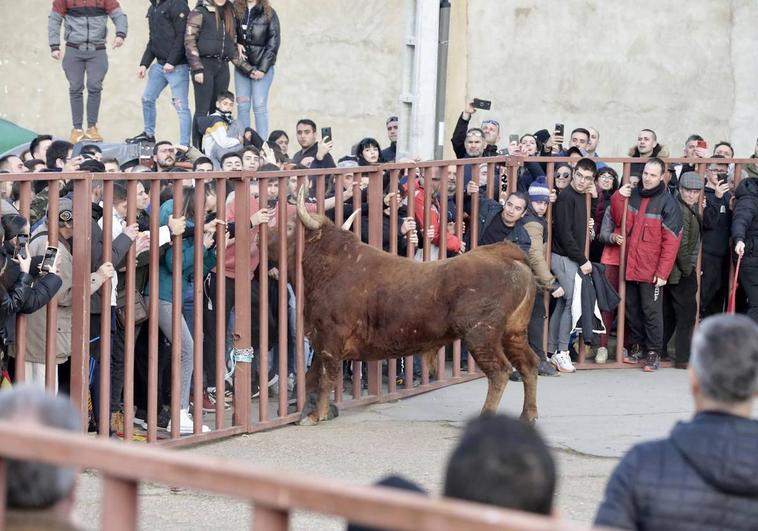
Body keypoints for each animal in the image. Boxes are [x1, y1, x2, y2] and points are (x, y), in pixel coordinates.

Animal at [274, 189, 540, 426]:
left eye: (289, 228)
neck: (331, 266)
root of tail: (507, 254)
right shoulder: (320, 341)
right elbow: (311, 377)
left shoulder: (329, 340)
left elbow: (325, 377)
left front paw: (314, 415)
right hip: (513, 332)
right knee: (529, 364)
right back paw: (528, 415)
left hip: (481, 336)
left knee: (500, 371)